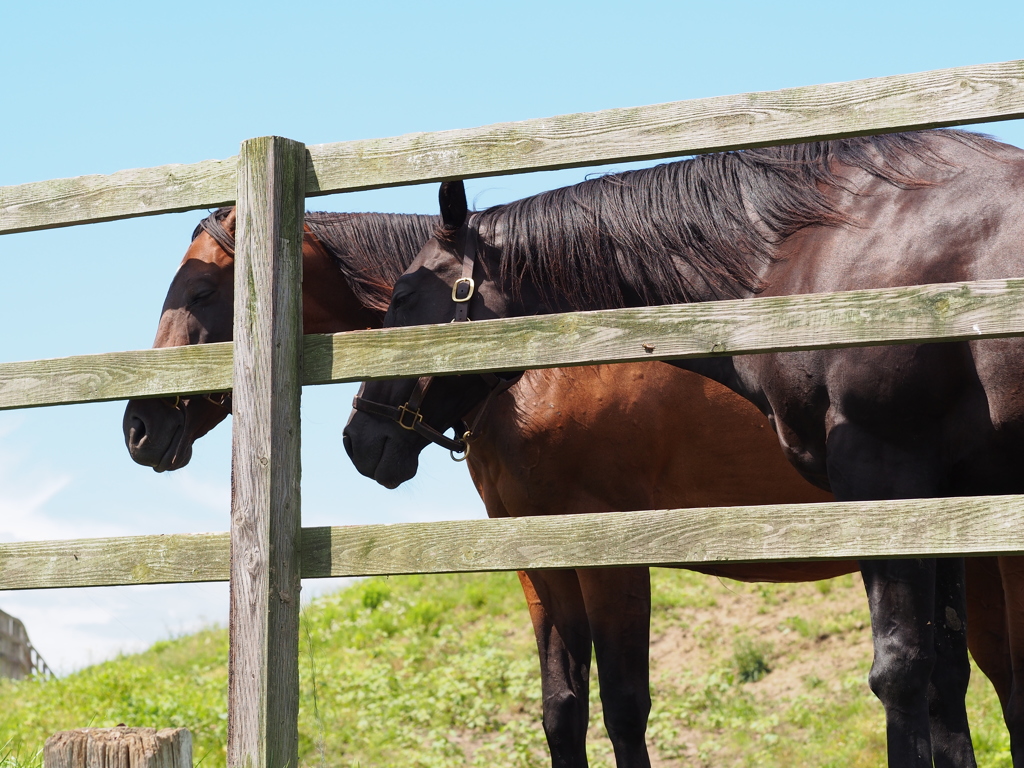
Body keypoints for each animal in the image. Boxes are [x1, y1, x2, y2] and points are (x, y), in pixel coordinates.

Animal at [339, 132, 1024, 768]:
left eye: (403, 297)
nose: (358, 438)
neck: (823, 252)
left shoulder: (882, 478)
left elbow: (901, 672)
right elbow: (942, 675)